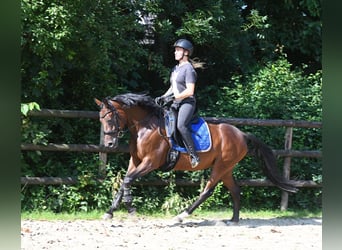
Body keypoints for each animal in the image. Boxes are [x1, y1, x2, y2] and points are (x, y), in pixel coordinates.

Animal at [94, 93, 296, 224]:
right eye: (101, 119)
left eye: (110, 118)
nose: (109, 144)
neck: (145, 126)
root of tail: (242, 134)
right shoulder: (135, 161)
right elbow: (123, 183)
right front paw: (109, 212)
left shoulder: (150, 162)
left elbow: (128, 180)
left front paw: (130, 208)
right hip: (227, 168)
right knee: (235, 190)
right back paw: (234, 219)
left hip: (220, 166)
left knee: (207, 191)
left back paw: (182, 215)